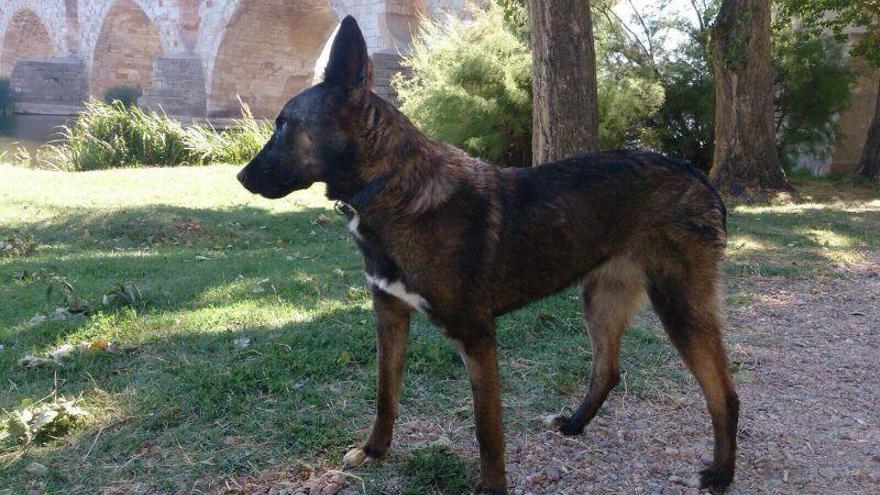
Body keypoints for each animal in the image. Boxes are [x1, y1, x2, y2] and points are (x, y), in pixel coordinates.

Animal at [237, 16, 740, 495]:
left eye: (284, 125)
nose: (241, 176)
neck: (391, 185)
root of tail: (696, 174)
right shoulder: (390, 316)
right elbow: (385, 395)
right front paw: (374, 450)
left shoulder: (476, 335)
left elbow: (487, 428)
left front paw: (492, 486)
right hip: (601, 300)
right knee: (608, 370)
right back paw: (576, 424)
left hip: (679, 307)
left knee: (725, 394)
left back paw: (721, 472)